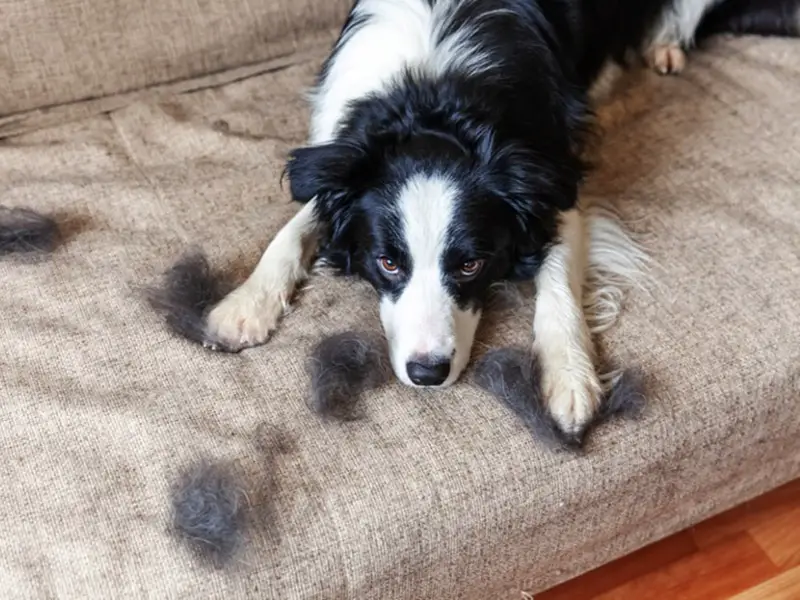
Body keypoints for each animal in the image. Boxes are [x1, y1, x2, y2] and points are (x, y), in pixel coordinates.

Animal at [208, 0, 800, 434]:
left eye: (472, 265)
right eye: (387, 263)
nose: (428, 374)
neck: (433, 96)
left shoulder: (553, 177)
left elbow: (556, 280)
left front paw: (569, 378)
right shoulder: (340, 160)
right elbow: (297, 225)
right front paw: (244, 305)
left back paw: (664, 46)